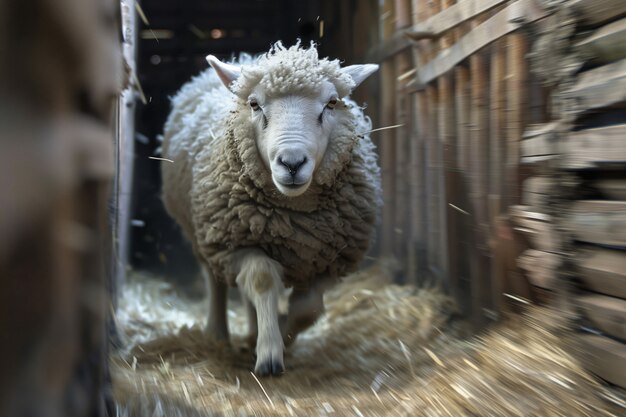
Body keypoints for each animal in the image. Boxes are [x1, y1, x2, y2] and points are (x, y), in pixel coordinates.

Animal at [161, 41, 380, 374]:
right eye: (254, 104)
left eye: (331, 103)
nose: (292, 163)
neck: (295, 219)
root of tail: (243, 59)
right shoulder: (236, 244)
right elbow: (262, 280)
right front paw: (269, 353)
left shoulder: (332, 258)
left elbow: (308, 308)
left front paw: (282, 336)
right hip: (202, 233)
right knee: (215, 281)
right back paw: (218, 333)